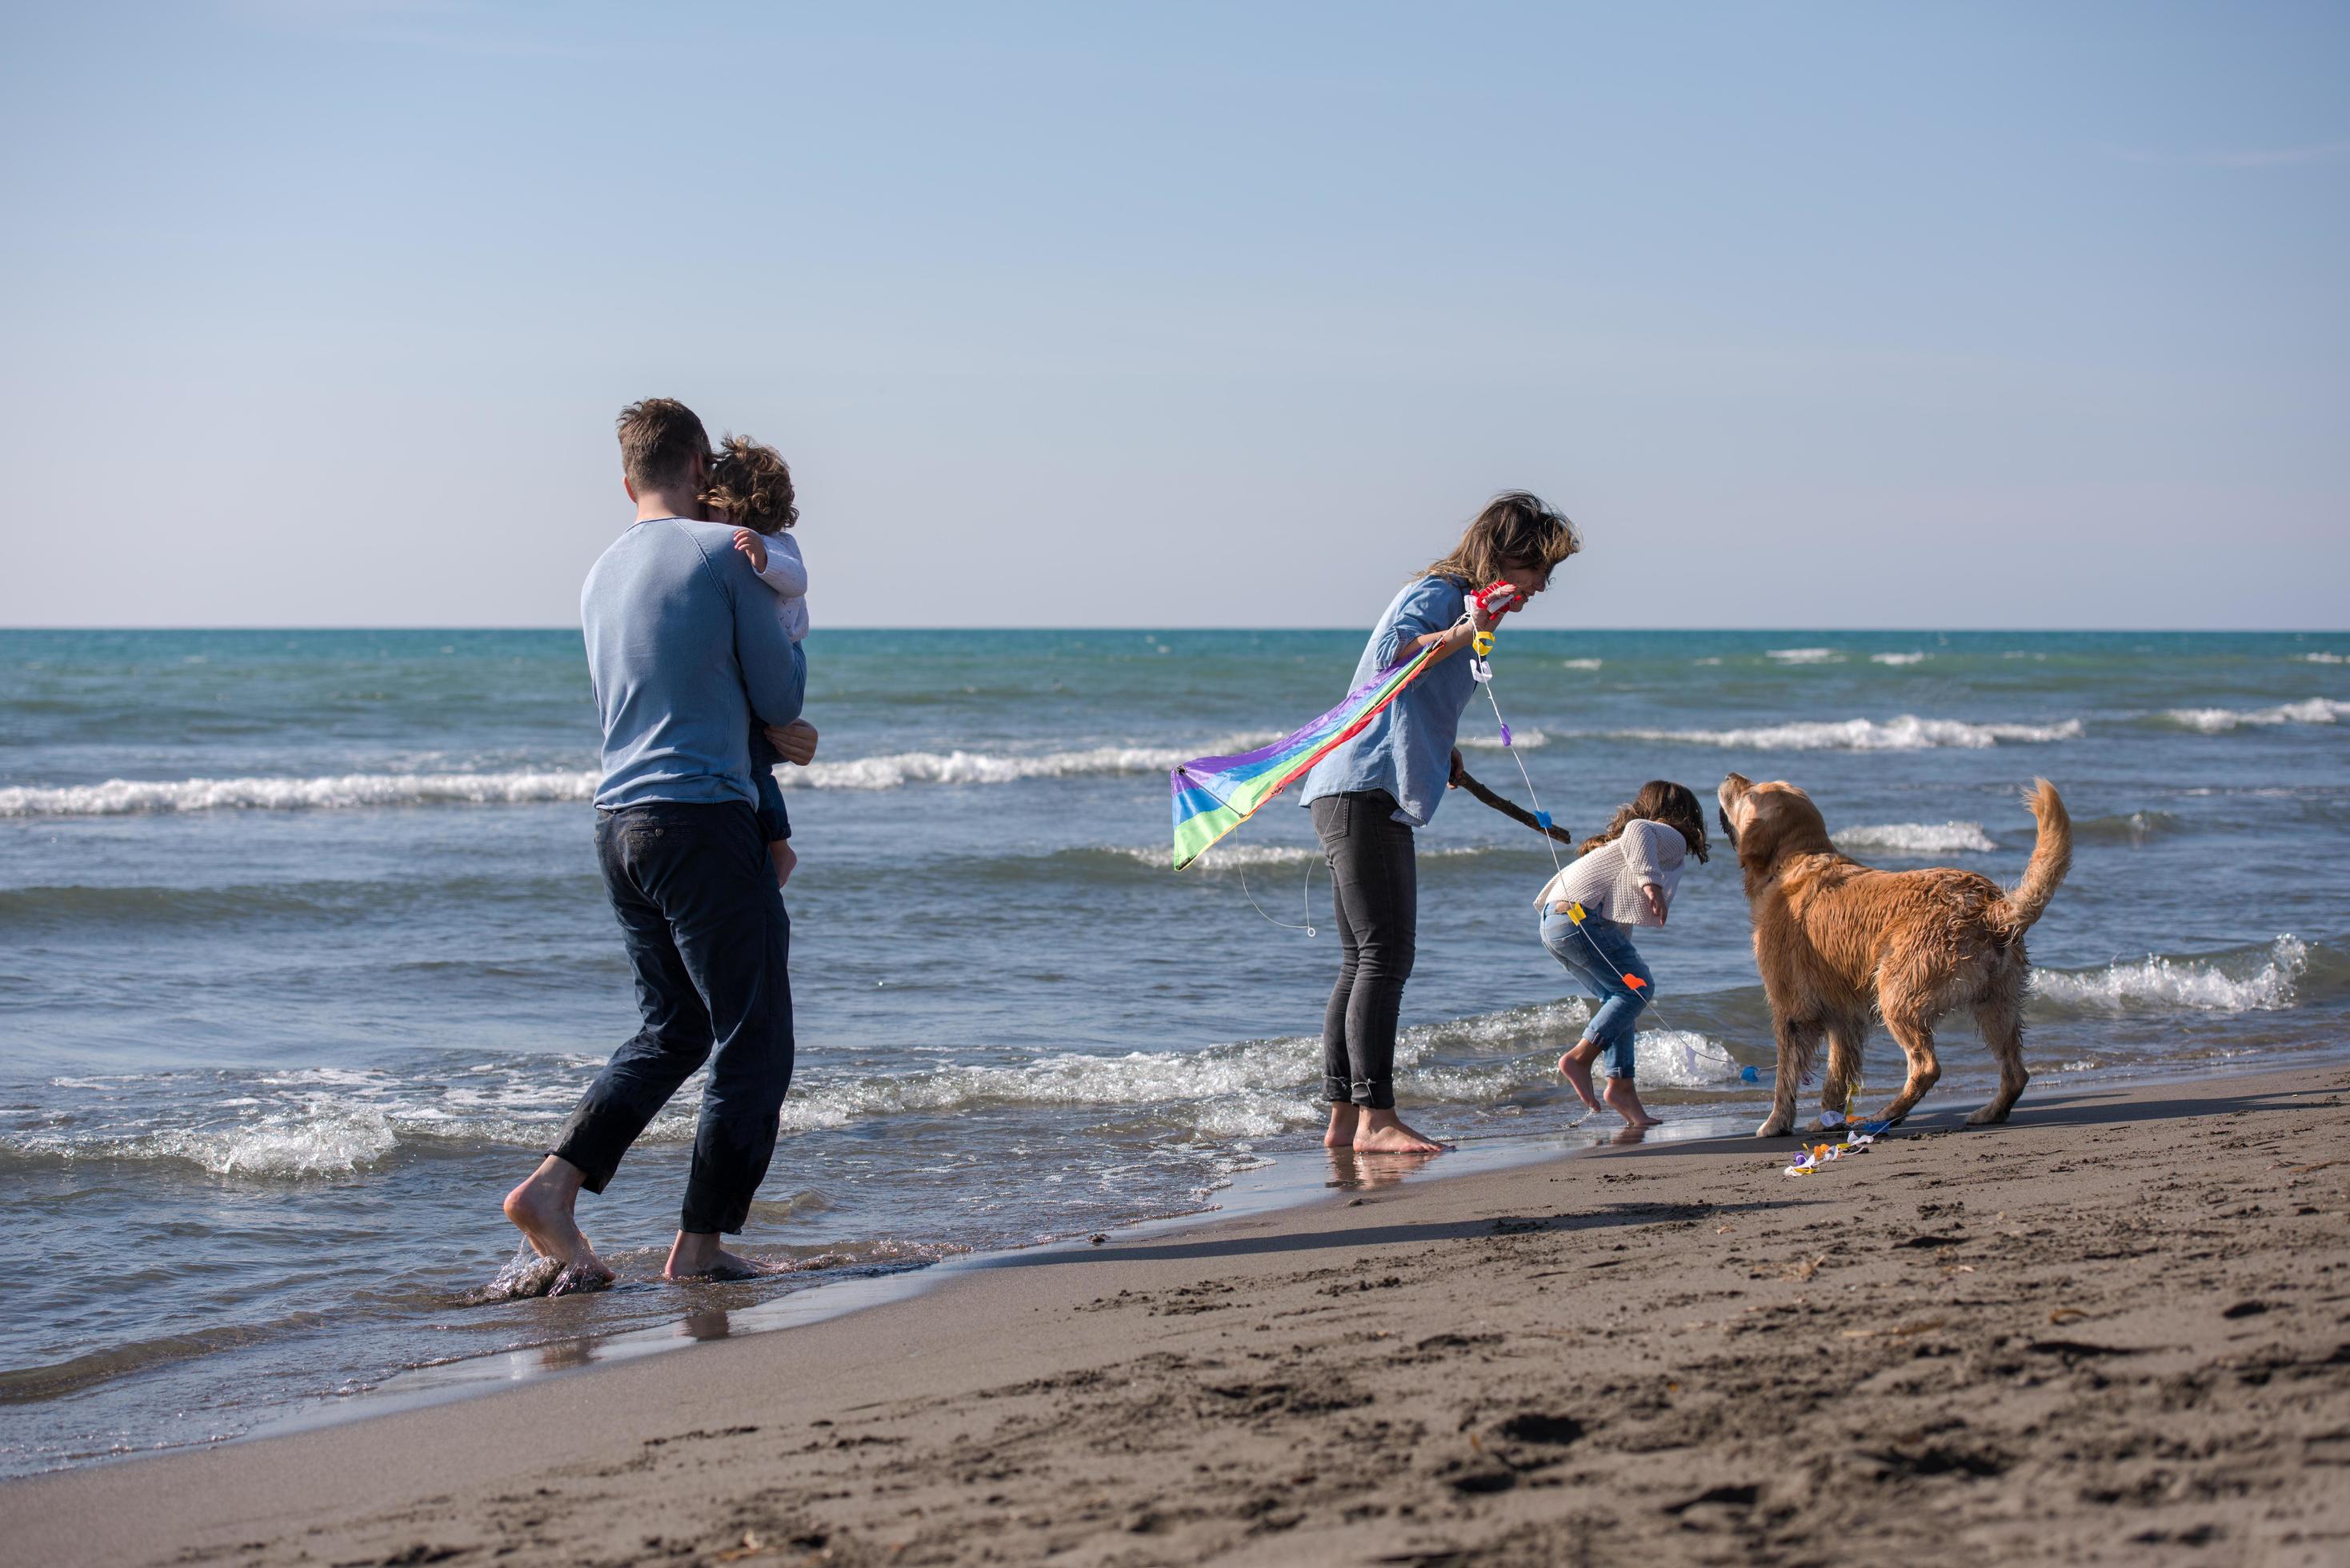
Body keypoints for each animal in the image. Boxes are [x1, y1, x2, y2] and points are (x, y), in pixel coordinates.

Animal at [1719, 775, 2068, 1133]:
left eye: (1750, 793)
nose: (1731, 776)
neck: (1796, 859)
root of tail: (1988, 908)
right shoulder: (1844, 1018)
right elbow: (1837, 1075)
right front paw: (1828, 1120)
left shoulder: (1789, 1010)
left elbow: (1785, 1077)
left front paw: (1775, 1124)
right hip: (1997, 1004)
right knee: (2015, 1072)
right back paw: (1990, 1112)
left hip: (1897, 994)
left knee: (1926, 1068)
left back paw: (1885, 1115)